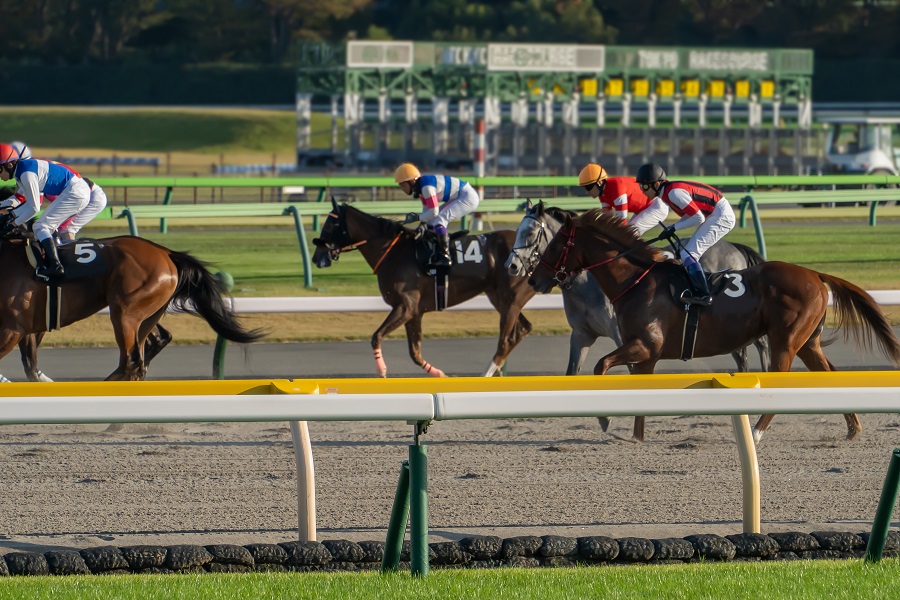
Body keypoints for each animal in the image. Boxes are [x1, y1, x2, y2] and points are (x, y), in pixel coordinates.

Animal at [0, 236, 264, 380]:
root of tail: (167, 253)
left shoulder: (12, 329)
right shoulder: (26, 330)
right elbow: (32, 369)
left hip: (125, 312)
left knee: (130, 361)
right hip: (147, 315)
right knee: (143, 356)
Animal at [312, 199, 536, 378]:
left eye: (330, 225)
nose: (316, 257)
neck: (393, 252)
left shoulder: (406, 307)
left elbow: (376, 337)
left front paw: (382, 371)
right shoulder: (414, 312)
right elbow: (415, 353)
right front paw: (440, 374)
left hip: (511, 299)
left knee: (506, 339)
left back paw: (485, 375)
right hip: (501, 298)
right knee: (522, 329)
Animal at [510, 199, 768, 438]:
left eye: (532, 233)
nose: (515, 268)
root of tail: (737, 247)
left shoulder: (626, 337)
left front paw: (610, 420)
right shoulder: (582, 334)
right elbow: (573, 373)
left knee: (759, 348)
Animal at [528, 210, 900, 440]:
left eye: (556, 244)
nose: (533, 278)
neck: (635, 280)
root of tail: (815, 274)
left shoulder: (644, 345)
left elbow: (600, 366)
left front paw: (605, 419)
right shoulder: (645, 354)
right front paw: (635, 436)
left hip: (785, 340)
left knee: (781, 378)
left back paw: (757, 432)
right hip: (808, 342)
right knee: (828, 373)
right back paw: (852, 428)